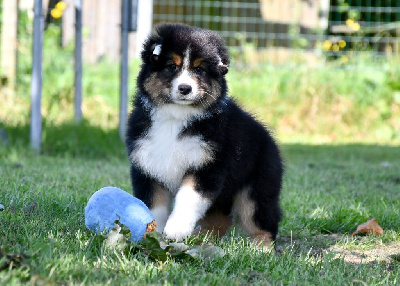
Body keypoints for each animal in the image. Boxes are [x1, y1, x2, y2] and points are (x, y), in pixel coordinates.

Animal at [126, 23, 282, 249]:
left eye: (199, 69)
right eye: (171, 66)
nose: (185, 88)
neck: (176, 117)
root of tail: (270, 139)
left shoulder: (207, 167)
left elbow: (188, 198)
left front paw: (176, 229)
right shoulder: (148, 168)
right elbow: (153, 206)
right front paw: (152, 236)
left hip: (257, 191)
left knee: (263, 220)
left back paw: (261, 248)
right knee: (221, 219)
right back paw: (202, 238)